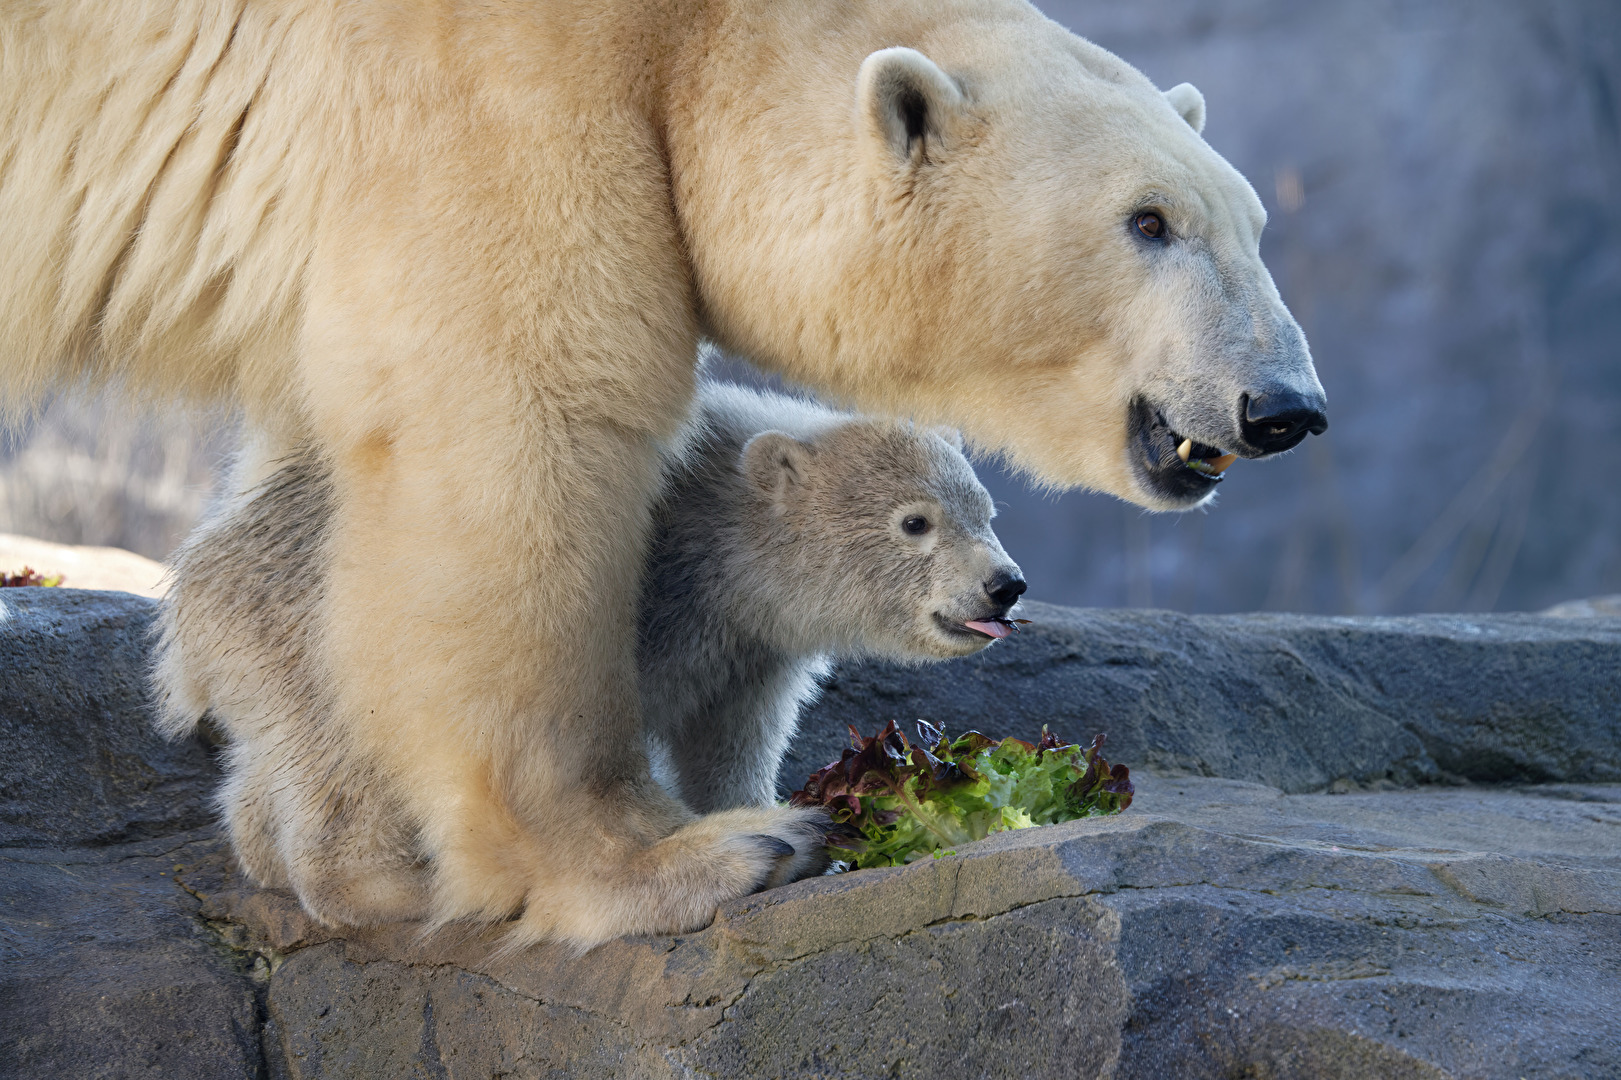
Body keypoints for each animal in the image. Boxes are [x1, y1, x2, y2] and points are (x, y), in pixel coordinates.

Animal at [0, 0, 1322, 940]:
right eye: (1147, 221)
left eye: (1253, 223)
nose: (1285, 407)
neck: (692, 35)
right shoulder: (493, 91)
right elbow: (521, 424)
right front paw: (692, 854)